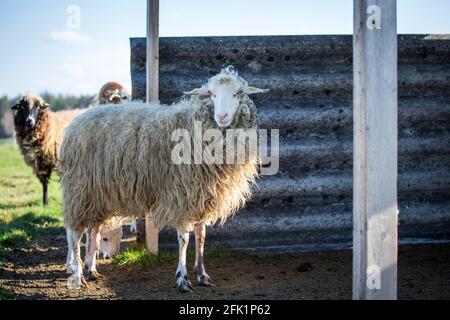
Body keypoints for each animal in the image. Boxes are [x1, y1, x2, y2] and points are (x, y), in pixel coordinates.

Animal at [61, 67, 268, 292]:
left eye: (239, 93)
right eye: (211, 94)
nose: (221, 116)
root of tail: (80, 118)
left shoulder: (203, 196)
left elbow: (201, 236)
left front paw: (202, 275)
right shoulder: (182, 194)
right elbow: (184, 239)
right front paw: (182, 279)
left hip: (98, 193)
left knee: (94, 230)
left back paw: (91, 270)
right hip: (80, 189)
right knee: (75, 234)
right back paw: (77, 275)